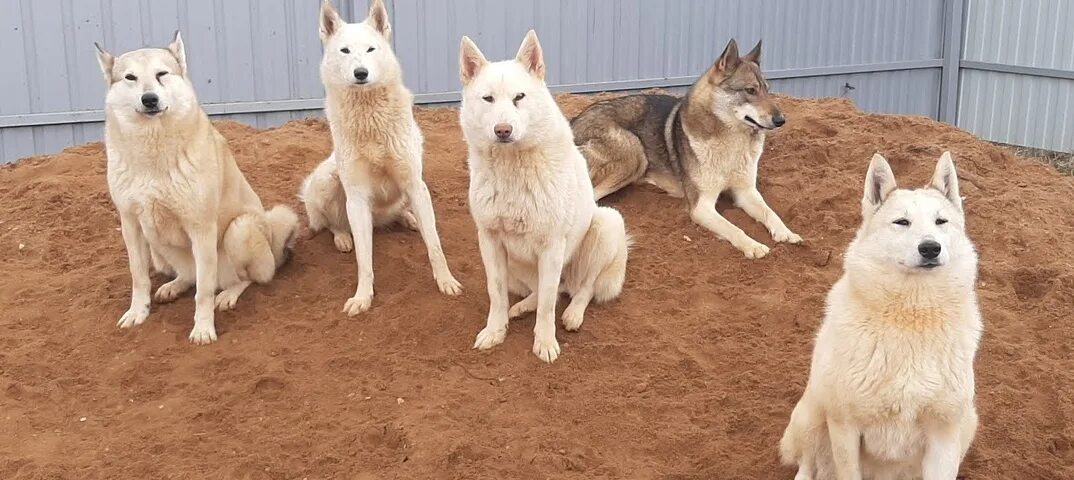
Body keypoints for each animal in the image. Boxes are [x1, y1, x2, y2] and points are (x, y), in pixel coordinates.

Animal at [97, 31, 300, 343]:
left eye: (161, 74)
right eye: (130, 77)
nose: (149, 99)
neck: (152, 152)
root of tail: (274, 249)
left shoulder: (201, 227)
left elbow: (203, 292)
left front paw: (203, 328)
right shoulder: (131, 223)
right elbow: (138, 277)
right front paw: (137, 312)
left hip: (240, 229)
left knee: (246, 278)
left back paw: (228, 294)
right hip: (155, 240)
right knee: (189, 276)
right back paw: (174, 285)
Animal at [307, 0, 466, 315]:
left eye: (371, 49)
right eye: (345, 51)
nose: (360, 73)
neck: (370, 117)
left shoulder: (415, 184)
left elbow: (435, 245)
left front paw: (446, 281)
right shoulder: (356, 197)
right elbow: (364, 261)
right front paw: (362, 297)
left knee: (405, 214)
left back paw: (410, 219)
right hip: (326, 180)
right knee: (333, 223)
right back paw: (342, 237)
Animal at [459, 31, 627, 365]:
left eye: (519, 97)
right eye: (488, 99)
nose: (503, 130)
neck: (512, 169)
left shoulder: (552, 246)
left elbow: (549, 305)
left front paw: (545, 342)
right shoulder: (490, 240)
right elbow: (496, 293)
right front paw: (496, 331)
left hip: (607, 223)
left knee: (581, 288)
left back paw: (573, 314)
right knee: (546, 291)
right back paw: (522, 307)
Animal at [575, 40, 803, 260]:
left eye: (767, 90)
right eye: (750, 91)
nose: (781, 120)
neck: (731, 142)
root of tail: (574, 123)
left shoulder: (745, 192)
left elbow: (770, 213)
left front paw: (786, 233)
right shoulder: (701, 206)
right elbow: (733, 228)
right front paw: (753, 246)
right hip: (635, 154)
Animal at [781, 153, 983, 480]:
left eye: (941, 221)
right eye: (902, 222)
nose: (930, 248)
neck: (911, 316)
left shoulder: (945, 434)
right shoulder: (845, 426)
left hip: (968, 423)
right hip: (812, 414)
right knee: (807, 463)